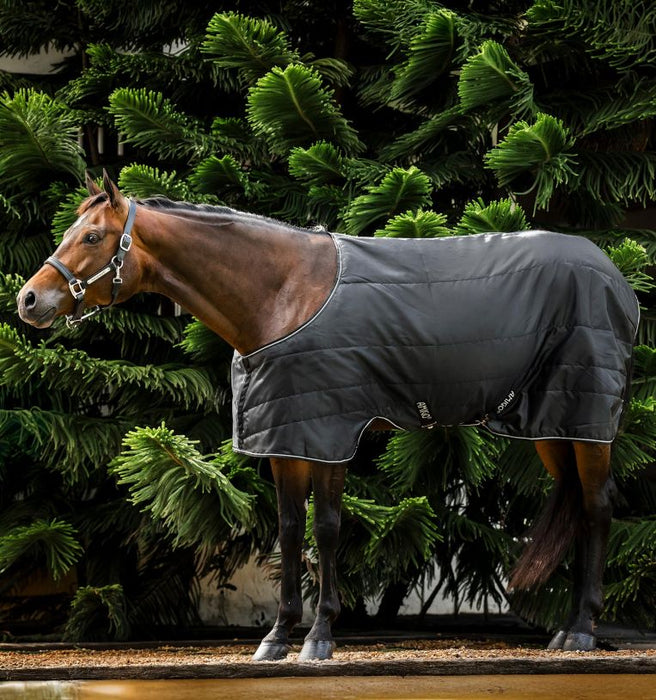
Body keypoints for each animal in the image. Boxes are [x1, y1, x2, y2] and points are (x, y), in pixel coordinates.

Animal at [17, 172, 639, 660]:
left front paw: (319, 637)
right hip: (554, 426)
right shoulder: (286, 438)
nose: (28, 300)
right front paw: (277, 636)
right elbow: (291, 531)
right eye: (69, 233)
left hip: (587, 421)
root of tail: (616, 277)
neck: (283, 294)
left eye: (92, 236)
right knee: (579, 505)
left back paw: (581, 631)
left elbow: (328, 528)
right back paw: (567, 629)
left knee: (599, 507)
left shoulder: (331, 432)